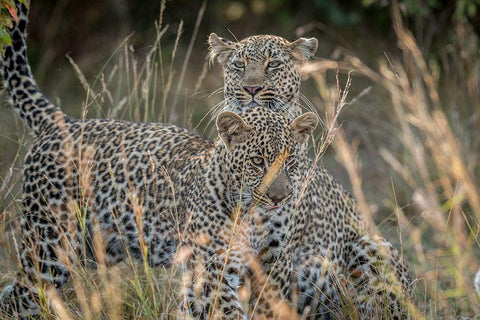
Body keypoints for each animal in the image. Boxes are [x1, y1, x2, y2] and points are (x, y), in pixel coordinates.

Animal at [208, 32, 414, 318]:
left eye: (273, 65)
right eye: (239, 65)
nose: (251, 89)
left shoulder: (277, 253)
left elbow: (266, 306)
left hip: (371, 246)